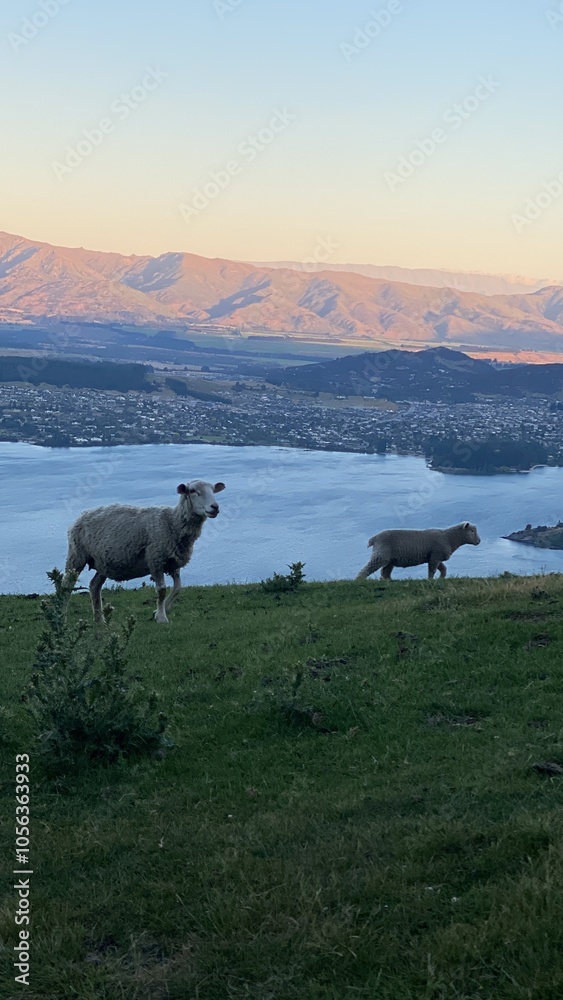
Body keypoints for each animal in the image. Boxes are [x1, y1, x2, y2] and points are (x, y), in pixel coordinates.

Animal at [64, 479, 226, 623]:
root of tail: (82, 514)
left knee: (94, 586)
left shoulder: (172, 562)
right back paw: (62, 614)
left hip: (103, 562)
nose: (214, 507)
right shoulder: (155, 559)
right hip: (77, 556)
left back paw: (99, 619)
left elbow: (178, 588)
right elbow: (162, 590)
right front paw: (161, 617)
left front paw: (159, 611)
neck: (172, 522)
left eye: (213, 490)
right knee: (66, 586)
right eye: (192, 491)